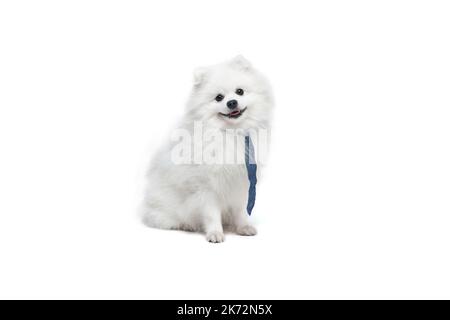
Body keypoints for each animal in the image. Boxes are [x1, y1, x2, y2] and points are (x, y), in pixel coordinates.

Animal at [142, 56, 272, 242]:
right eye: (219, 97)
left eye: (240, 91)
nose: (232, 102)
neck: (230, 133)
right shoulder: (206, 186)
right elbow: (211, 214)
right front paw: (215, 233)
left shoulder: (241, 182)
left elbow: (241, 211)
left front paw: (243, 228)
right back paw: (186, 225)